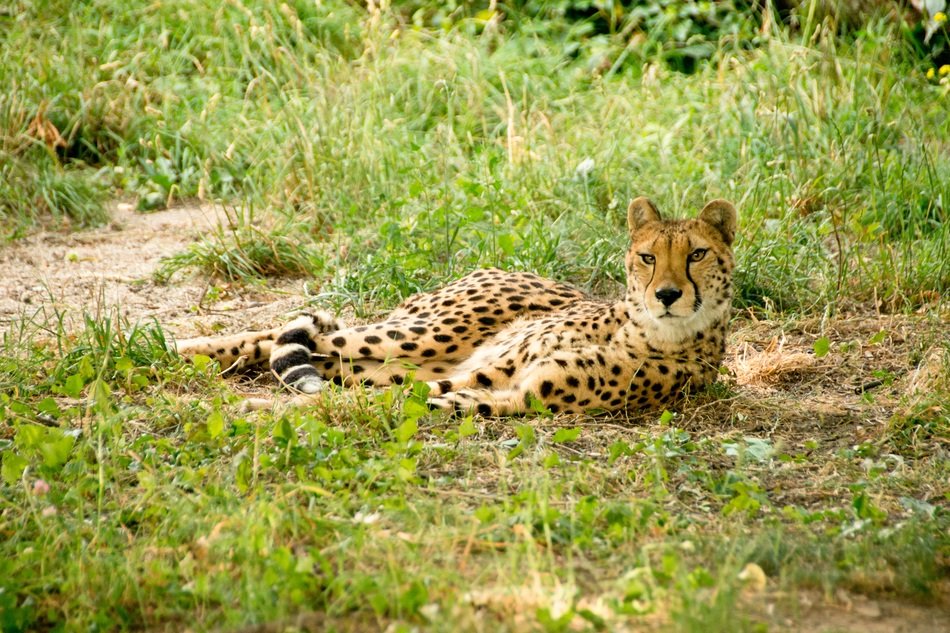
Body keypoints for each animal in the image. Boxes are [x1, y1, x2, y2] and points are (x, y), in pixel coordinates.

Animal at [174, 197, 737, 416]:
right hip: (426, 332)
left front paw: (263, 409)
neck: (646, 330)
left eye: (697, 254)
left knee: (317, 355)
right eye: (648, 257)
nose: (667, 295)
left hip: (401, 358)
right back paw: (176, 346)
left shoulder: (511, 391)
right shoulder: (498, 371)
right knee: (288, 335)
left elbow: (395, 402)